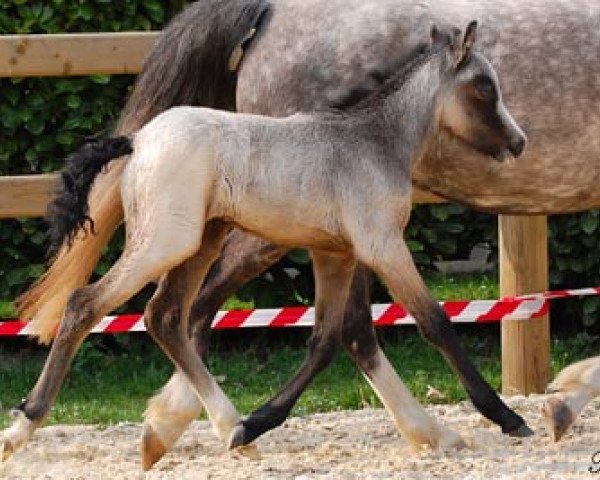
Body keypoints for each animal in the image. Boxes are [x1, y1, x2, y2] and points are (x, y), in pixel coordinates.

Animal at [9, 0, 600, 468]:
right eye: (483, 86)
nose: (518, 142)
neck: (371, 141)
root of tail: (138, 140)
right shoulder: (383, 246)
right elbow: (434, 322)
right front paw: (510, 417)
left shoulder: (335, 253)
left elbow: (326, 339)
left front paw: (257, 422)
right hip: (169, 242)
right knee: (88, 304)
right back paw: (25, 422)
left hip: (201, 241)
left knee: (167, 316)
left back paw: (225, 428)